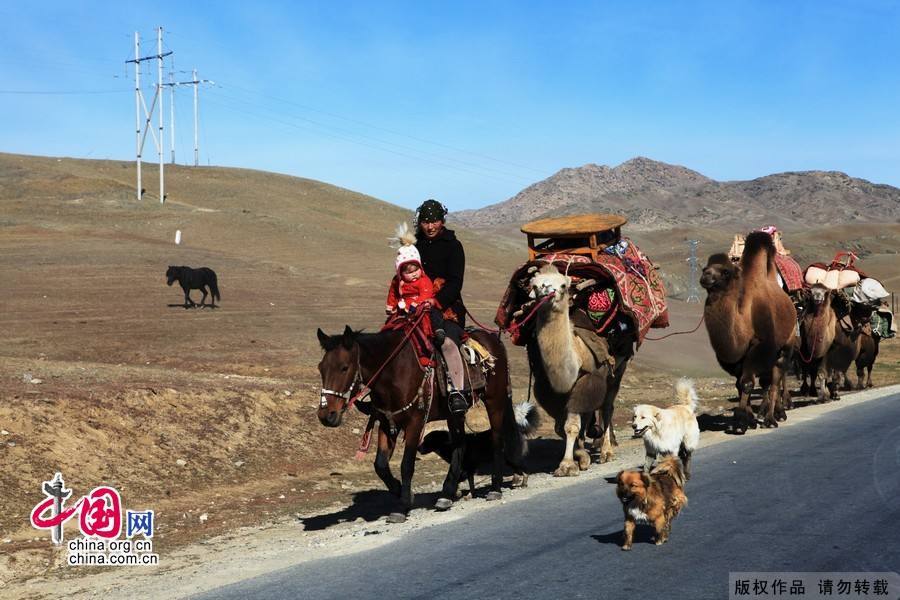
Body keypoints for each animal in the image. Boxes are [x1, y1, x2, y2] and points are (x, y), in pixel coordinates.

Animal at [316, 326, 512, 524]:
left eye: (344, 367)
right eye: (321, 368)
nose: (326, 415)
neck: (394, 372)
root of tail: (493, 339)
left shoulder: (415, 423)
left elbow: (407, 465)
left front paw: (401, 508)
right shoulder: (387, 423)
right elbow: (380, 465)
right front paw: (403, 493)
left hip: (494, 402)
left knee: (497, 441)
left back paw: (495, 488)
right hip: (454, 414)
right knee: (460, 445)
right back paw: (446, 494)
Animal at [528, 264, 632, 476]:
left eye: (563, 285)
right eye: (534, 285)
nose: (547, 290)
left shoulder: (584, 380)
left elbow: (571, 426)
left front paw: (567, 465)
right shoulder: (548, 390)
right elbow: (561, 427)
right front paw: (580, 456)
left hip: (618, 369)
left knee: (607, 406)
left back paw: (607, 451)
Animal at [700, 232, 800, 434]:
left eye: (725, 272)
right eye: (706, 267)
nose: (705, 275)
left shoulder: (761, 346)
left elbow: (747, 383)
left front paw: (740, 423)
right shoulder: (736, 360)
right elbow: (739, 385)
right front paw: (749, 420)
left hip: (786, 345)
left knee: (776, 379)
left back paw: (773, 418)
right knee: (769, 381)